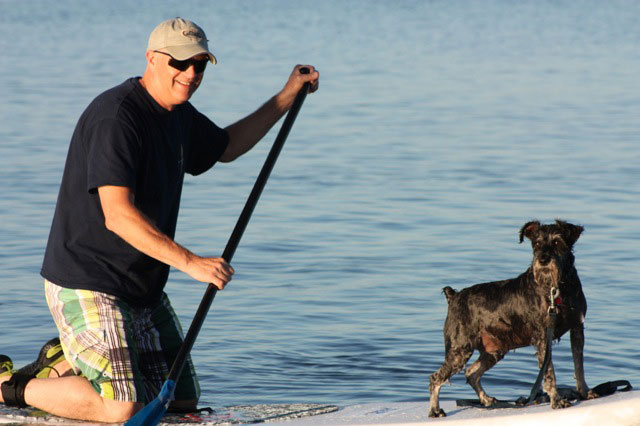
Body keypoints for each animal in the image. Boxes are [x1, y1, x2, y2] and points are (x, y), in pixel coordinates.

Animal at [428, 221, 596, 418]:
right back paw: (435, 410)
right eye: (536, 243)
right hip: (459, 350)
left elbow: (579, 366)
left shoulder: (577, 328)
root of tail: (453, 297)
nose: (543, 260)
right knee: (436, 377)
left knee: (471, 373)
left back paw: (487, 400)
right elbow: (549, 373)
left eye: (557, 242)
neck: (557, 289)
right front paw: (557, 401)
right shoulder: (542, 338)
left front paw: (585, 392)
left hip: (493, 351)